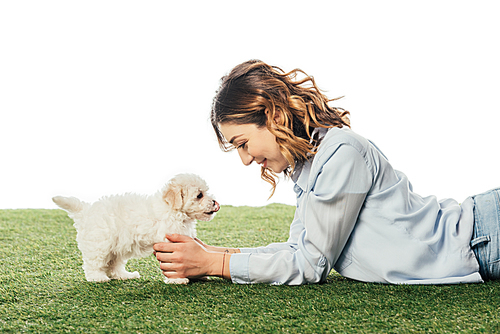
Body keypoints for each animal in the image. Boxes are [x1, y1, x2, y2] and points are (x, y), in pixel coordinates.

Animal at [52, 175, 219, 284]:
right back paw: (97, 278)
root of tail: (86, 211)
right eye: (199, 195)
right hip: (100, 243)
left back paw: (125, 275)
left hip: (116, 247)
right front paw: (178, 280)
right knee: (94, 263)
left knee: (113, 265)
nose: (215, 202)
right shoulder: (169, 242)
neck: (174, 209)